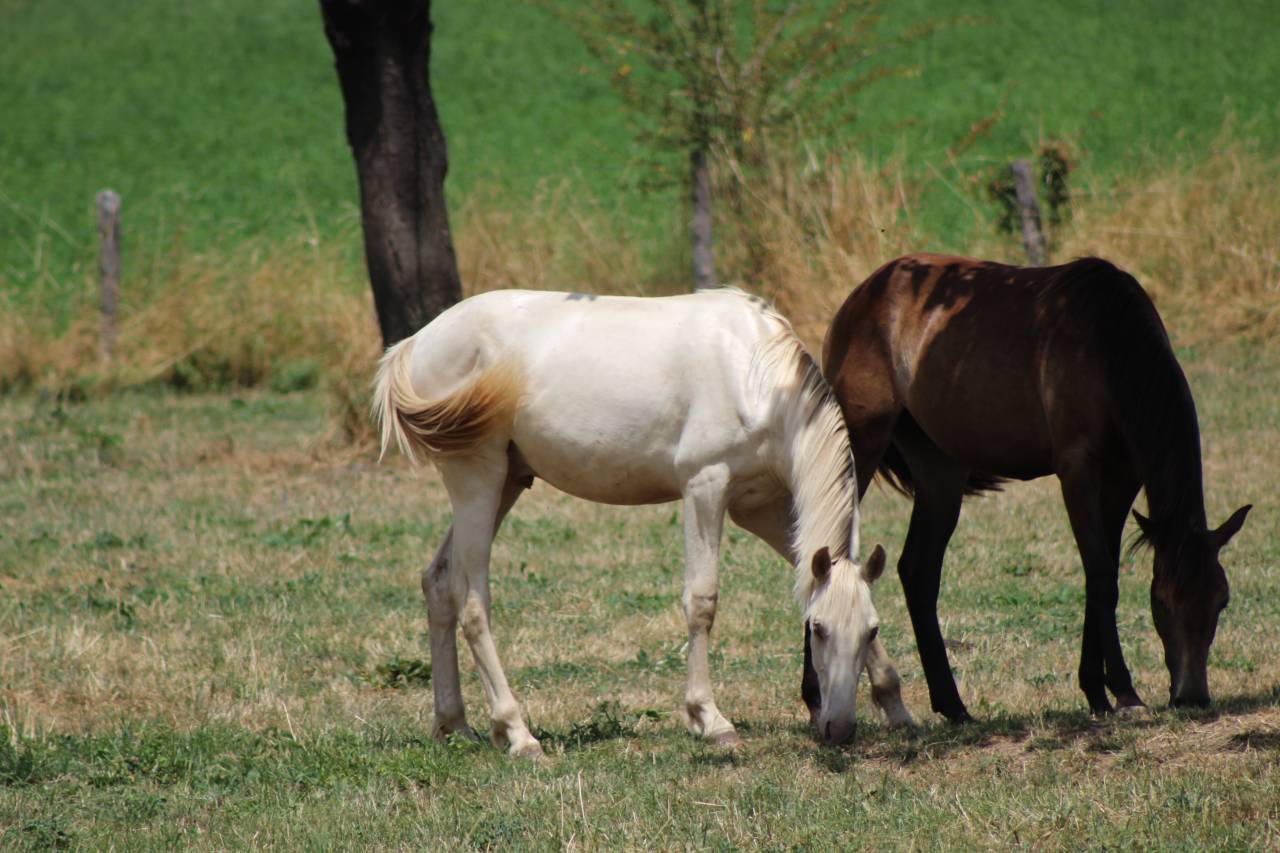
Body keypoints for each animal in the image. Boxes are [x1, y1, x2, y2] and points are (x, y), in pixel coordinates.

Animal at [373, 288, 916, 757]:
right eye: (817, 629)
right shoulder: (705, 487)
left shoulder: (759, 508)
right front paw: (709, 719)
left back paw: (454, 724)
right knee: (472, 604)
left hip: (507, 481)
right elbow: (702, 602)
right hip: (477, 479)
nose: (840, 729)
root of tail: (419, 341)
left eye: (870, 631)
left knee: (439, 583)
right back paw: (518, 733)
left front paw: (896, 706)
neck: (753, 373)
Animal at [814, 253, 1250, 722]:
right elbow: (1100, 572)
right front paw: (1122, 690)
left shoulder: (1122, 480)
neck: (1107, 342)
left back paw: (953, 706)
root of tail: (862, 296)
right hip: (860, 443)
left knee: (919, 571)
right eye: (1163, 601)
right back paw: (815, 698)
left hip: (940, 473)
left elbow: (1104, 573)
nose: (1192, 696)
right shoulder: (1077, 470)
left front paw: (1097, 692)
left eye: (1221, 600)